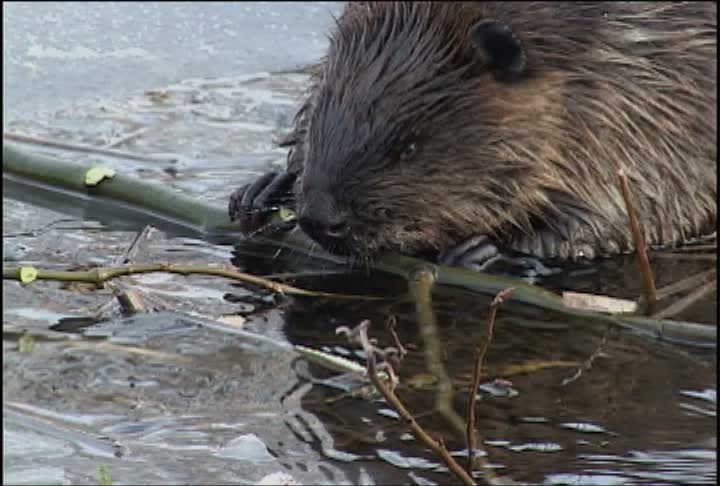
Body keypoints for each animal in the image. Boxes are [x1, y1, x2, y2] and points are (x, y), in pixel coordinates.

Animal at [229, 1, 716, 268]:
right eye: (321, 122)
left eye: (409, 147)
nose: (319, 218)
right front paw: (264, 189)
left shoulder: (645, 100)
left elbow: (637, 211)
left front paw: (486, 251)